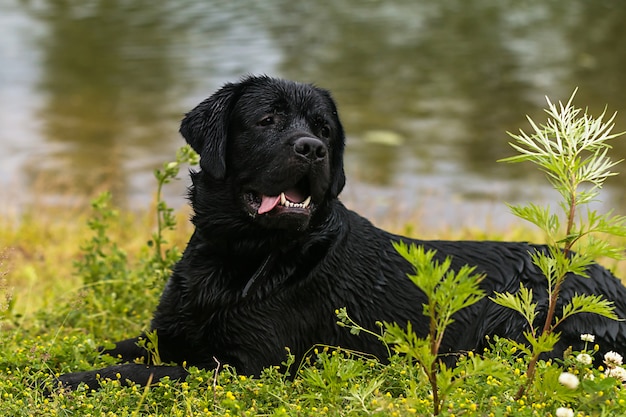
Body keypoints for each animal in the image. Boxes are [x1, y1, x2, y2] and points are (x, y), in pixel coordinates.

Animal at [56, 75, 620, 390]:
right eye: (267, 119)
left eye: (325, 129)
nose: (312, 148)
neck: (243, 256)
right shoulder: (167, 334)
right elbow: (117, 351)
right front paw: (50, 364)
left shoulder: (245, 364)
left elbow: (144, 371)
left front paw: (65, 380)